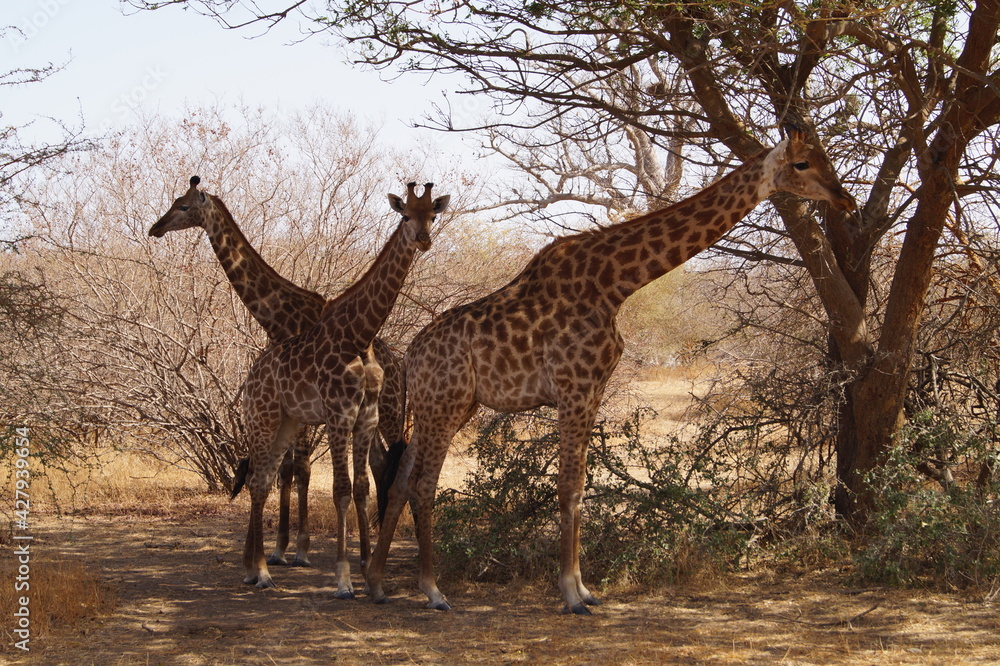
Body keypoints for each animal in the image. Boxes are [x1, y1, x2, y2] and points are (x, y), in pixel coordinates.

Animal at [148, 176, 405, 568]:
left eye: (183, 205)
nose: (156, 228)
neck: (277, 314)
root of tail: (399, 363)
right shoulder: (294, 402)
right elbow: (285, 469)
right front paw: (278, 548)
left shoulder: (301, 402)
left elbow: (298, 470)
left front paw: (295, 548)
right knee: (379, 463)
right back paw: (372, 546)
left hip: (389, 412)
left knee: (398, 462)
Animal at [241, 182, 449, 596]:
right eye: (405, 215)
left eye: (432, 215)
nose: (423, 239)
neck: (357, 335)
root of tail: (250, 377)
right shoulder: (338, 414)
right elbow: (339, 488)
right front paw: (342, 579)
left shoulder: (363, 415)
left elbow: (360, 486)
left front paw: (367, 573)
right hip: (264, 419)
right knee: (259, 478)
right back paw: (260, 570)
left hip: (287, 423)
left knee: (262, 479)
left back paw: (259, 571)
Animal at [367, 127, 856, 614]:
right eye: (802, 164)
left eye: (826, 157)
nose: (846, 199)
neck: (615, 283)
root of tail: (410, 356)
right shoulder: (575, 387)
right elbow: (568, 487)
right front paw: (570, 593)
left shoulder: (595, 389)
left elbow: (581, 486)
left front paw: (584, 589)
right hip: (445, 404)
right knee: (423, 484)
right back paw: (432, 590)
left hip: (446, 406)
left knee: (401, 479)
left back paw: (376, 583)